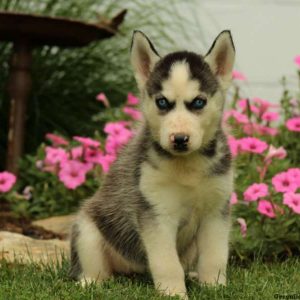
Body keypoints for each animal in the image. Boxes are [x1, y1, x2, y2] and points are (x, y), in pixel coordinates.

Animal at [69, 29, 234, 298]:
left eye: (199, 102)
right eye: (162, 102)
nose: (179, 139)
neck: (187, 167)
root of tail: (134, 270)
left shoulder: (216, 210)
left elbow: (215, 256)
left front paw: (214, 287)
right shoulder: (156, 213)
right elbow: (167, 263)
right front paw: (174, 293)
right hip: (87, 229)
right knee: (94, 267)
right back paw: (90, 282)